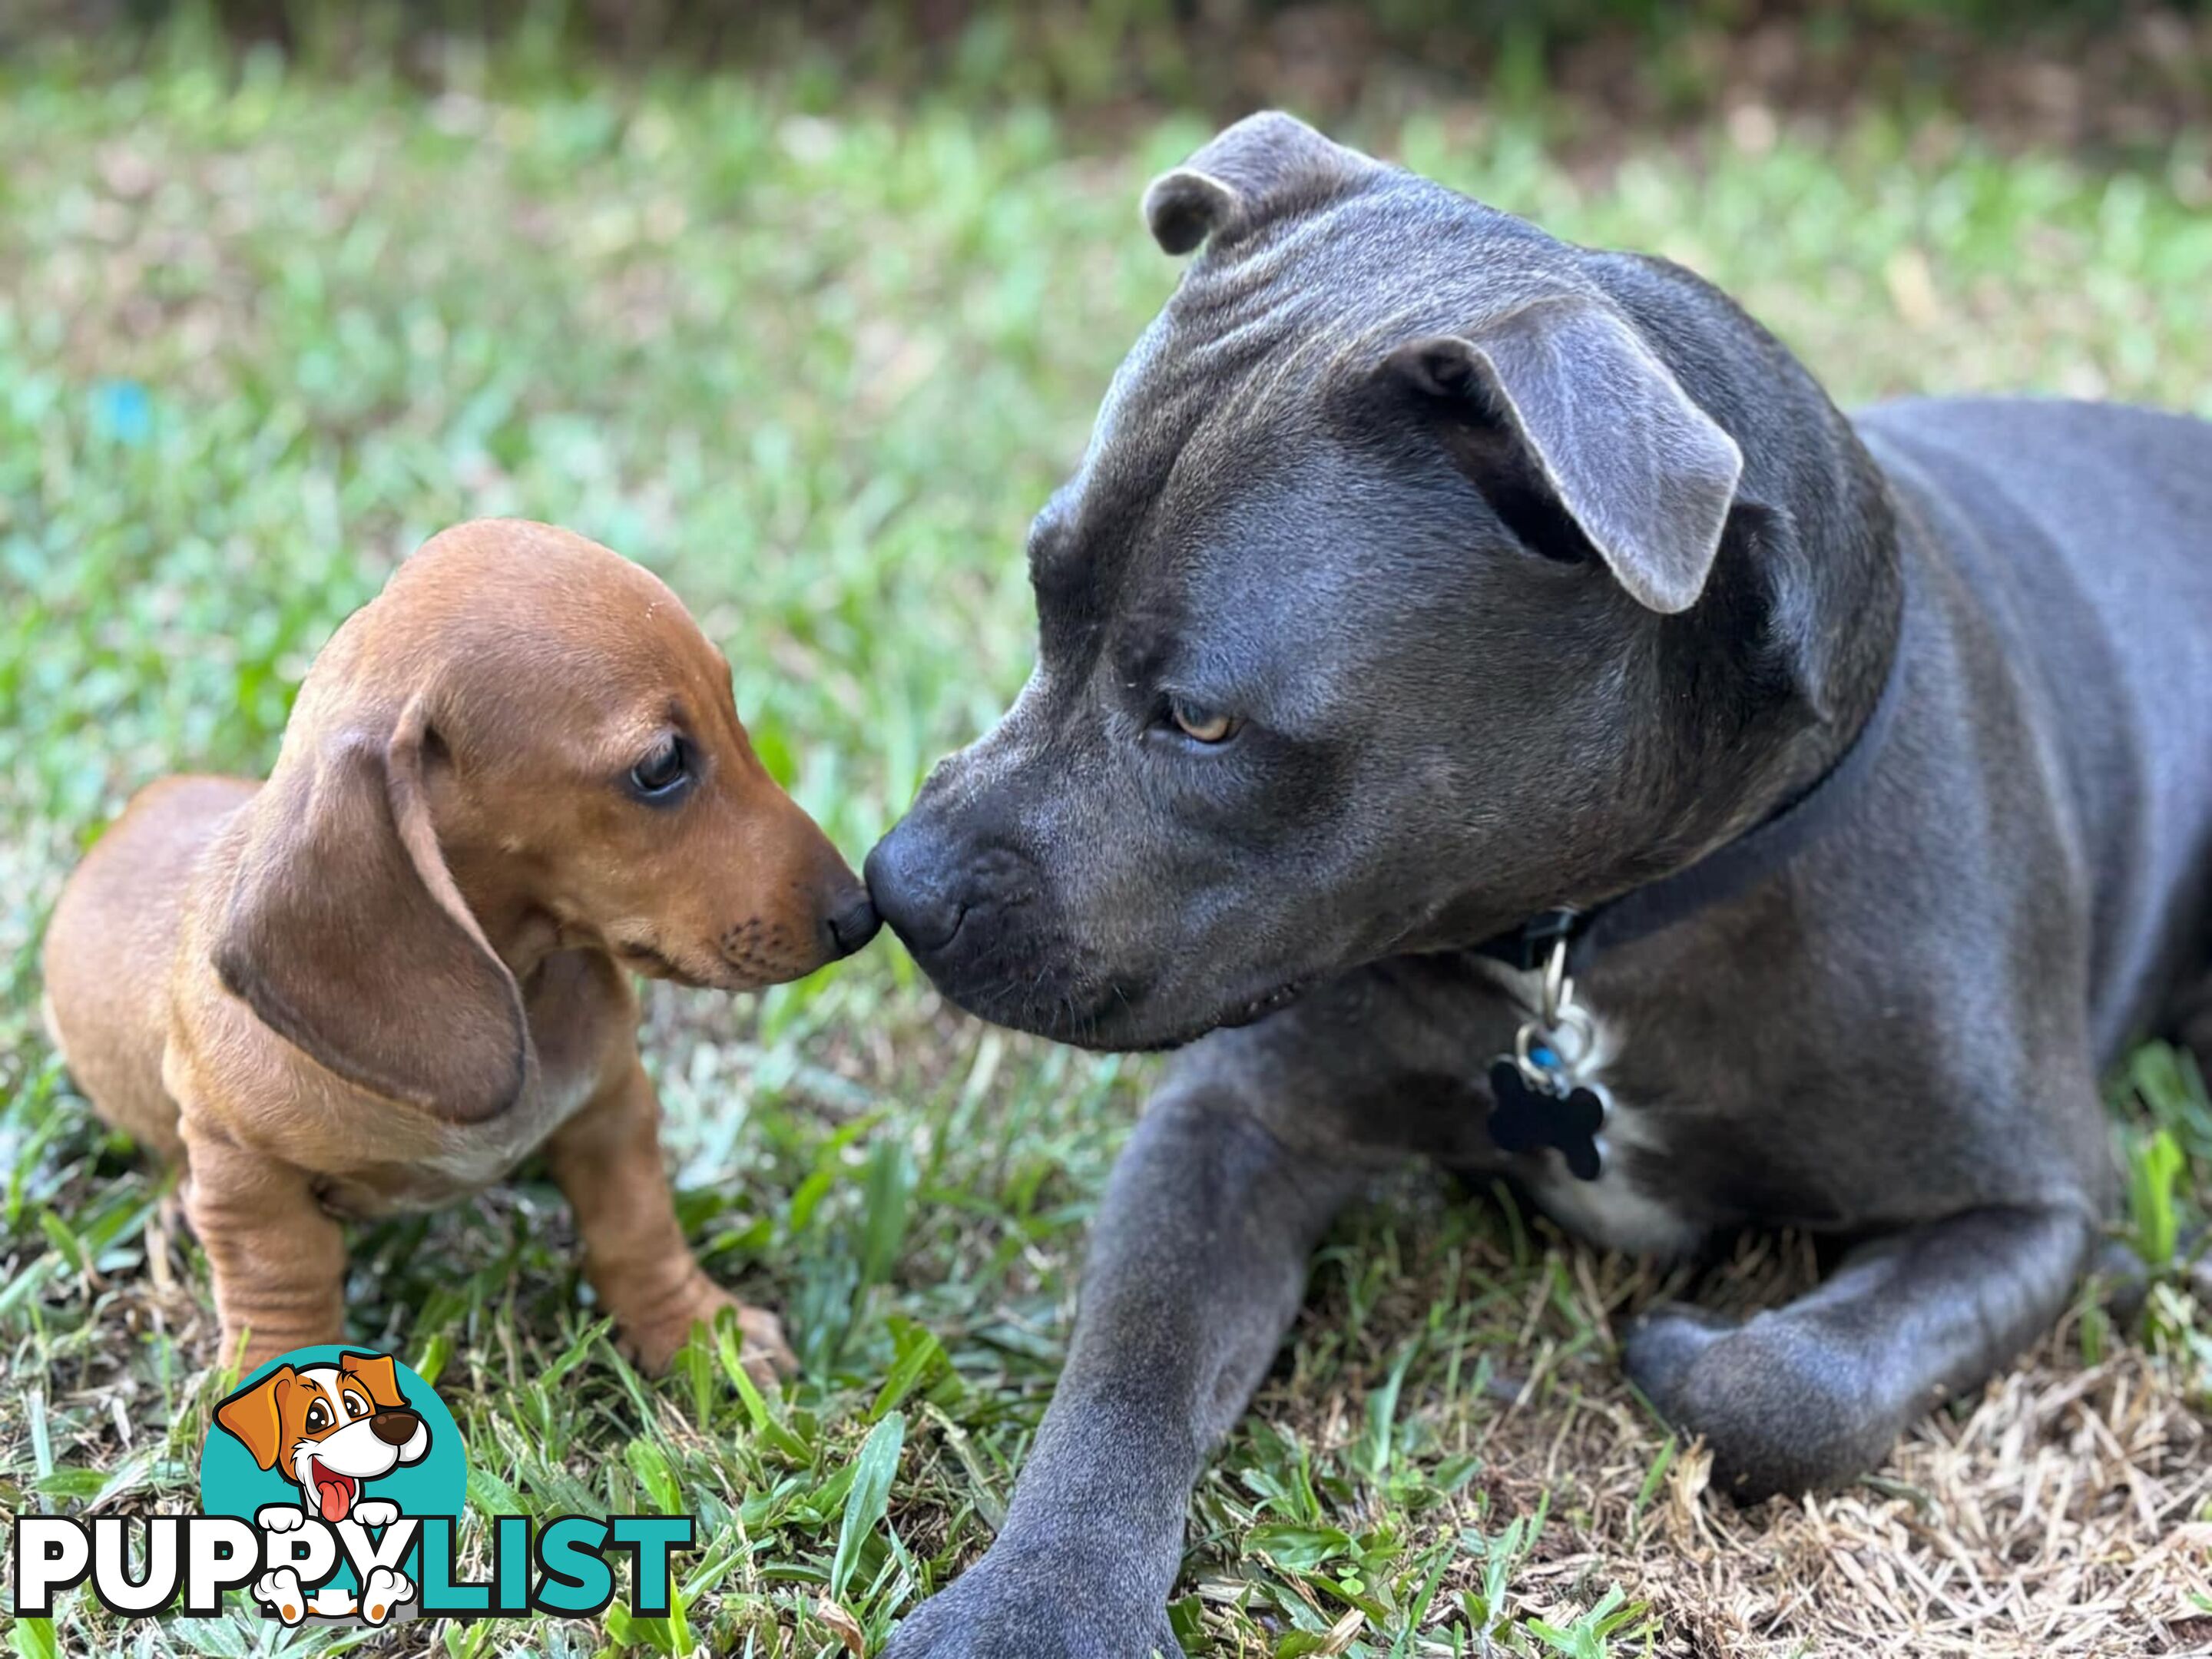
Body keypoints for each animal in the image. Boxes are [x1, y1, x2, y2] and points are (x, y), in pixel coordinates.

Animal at [43, 519, 871, 1380]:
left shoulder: (612, 1107)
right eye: (661, 765)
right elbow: (281, 1280)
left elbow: (639, 1230)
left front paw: (702, 1331)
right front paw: (272, 1376)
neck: (516, 977)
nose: (862, 913)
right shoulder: (244, 1172)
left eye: (733, 707)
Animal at [858, 111, 2212, 1654]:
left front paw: (1693, 1349)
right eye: (1040, 596)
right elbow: (1129, 1362)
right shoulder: (1231, 1122)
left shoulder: (2040, 1202)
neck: (1590, 937)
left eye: (1202, 721)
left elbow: (1793, 1393)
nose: (898, 884)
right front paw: (1040, 1595)